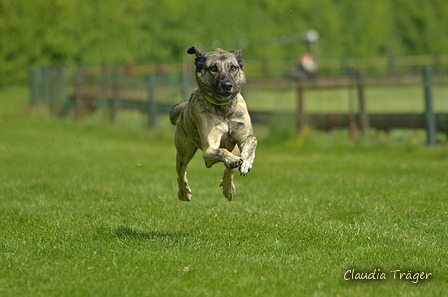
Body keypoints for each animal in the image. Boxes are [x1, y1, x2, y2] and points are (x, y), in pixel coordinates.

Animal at [170, 46, 258, 200]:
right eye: (213, 68)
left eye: (233, 68)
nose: (227, 85)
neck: (224, 109)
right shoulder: (209, 150)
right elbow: (220, 150)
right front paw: (232, 160)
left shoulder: (242, 135)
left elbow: (252, 139)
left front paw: (246, 162)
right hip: (184, 151)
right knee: (181, 172)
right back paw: (184, 193)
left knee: (229, 170)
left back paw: (229, 187)